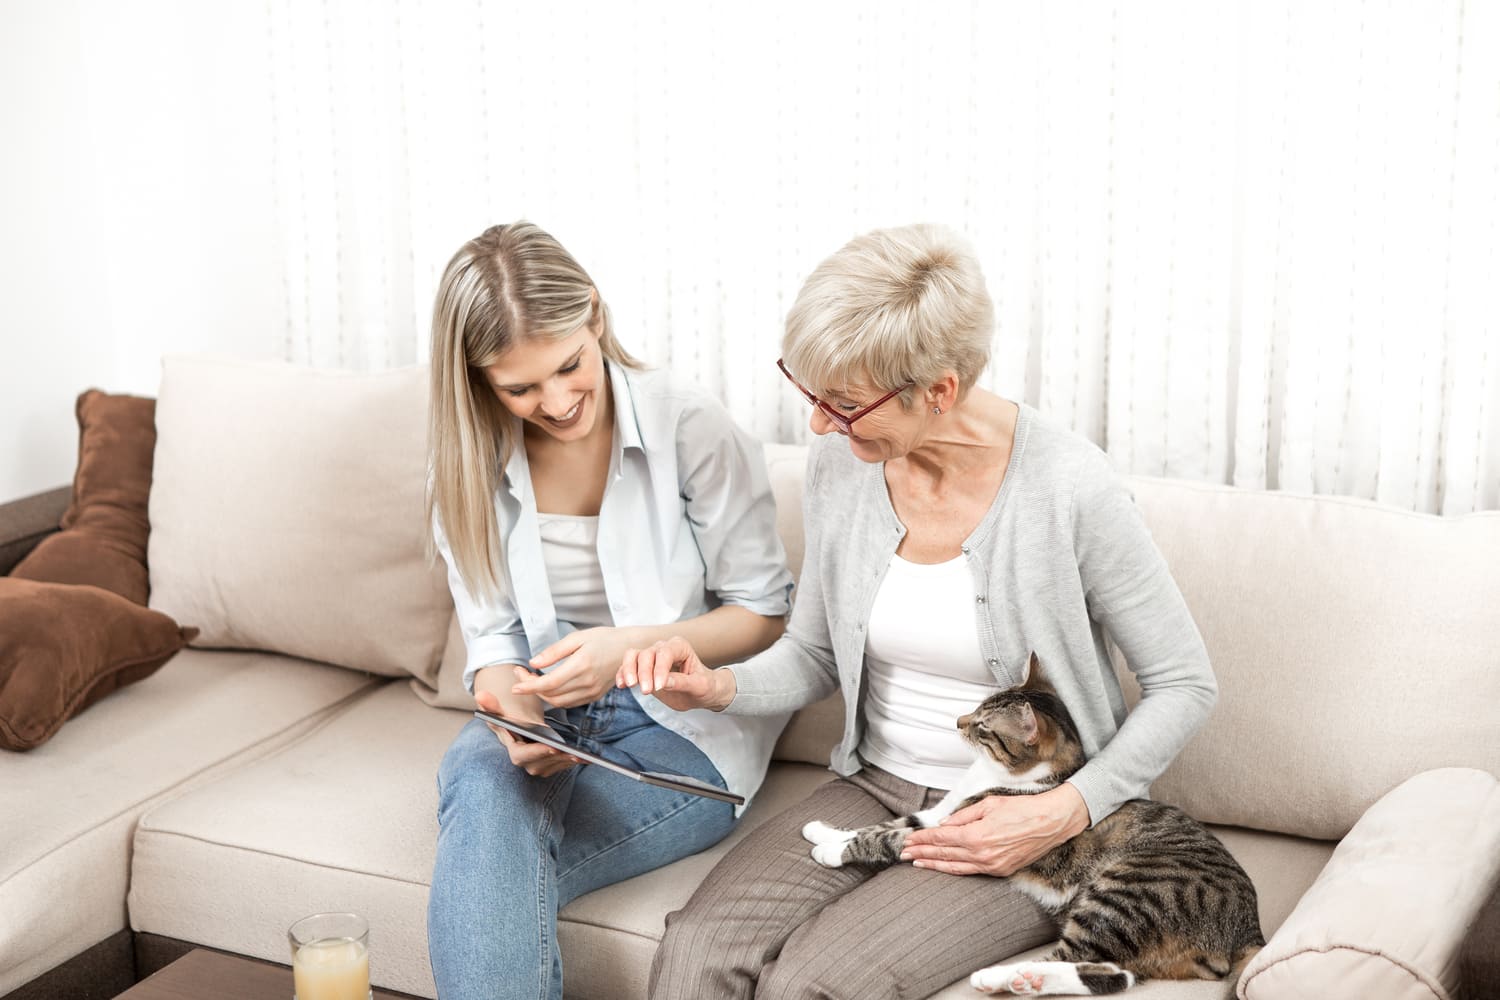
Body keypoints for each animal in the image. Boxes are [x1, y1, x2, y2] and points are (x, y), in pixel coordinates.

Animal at [804, 656, 1260, 995]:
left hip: (1128, 892)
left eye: (983, 725)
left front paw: (832, 851)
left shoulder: (960, 829)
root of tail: (1247, 928)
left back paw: (1003, 977)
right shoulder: (943, 813)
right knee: (1113, 974)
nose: (958, 721)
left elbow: (891, 835)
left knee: (1078, 958)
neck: (996, 775)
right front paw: (823, 831)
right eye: (978, 707)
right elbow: (889, 822)